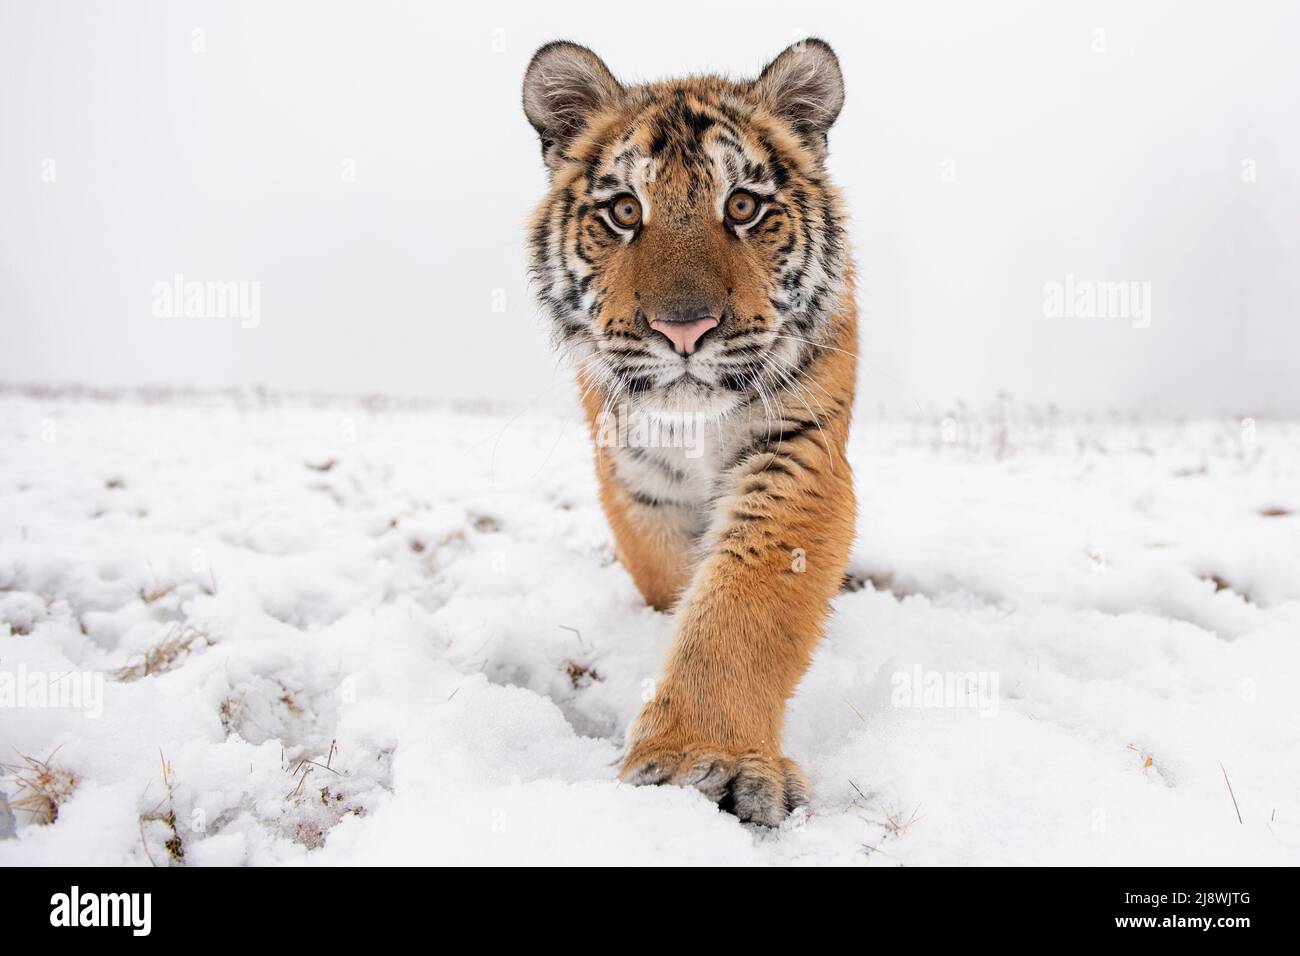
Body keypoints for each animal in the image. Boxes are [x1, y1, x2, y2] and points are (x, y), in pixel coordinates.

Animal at [522, 39, 857, 832]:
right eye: (623, 210)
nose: (684, 329)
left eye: (742, 206)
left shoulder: (800, 450)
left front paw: (707, 758)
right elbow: (676, 583)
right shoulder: (632, 478)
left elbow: (737, 609)